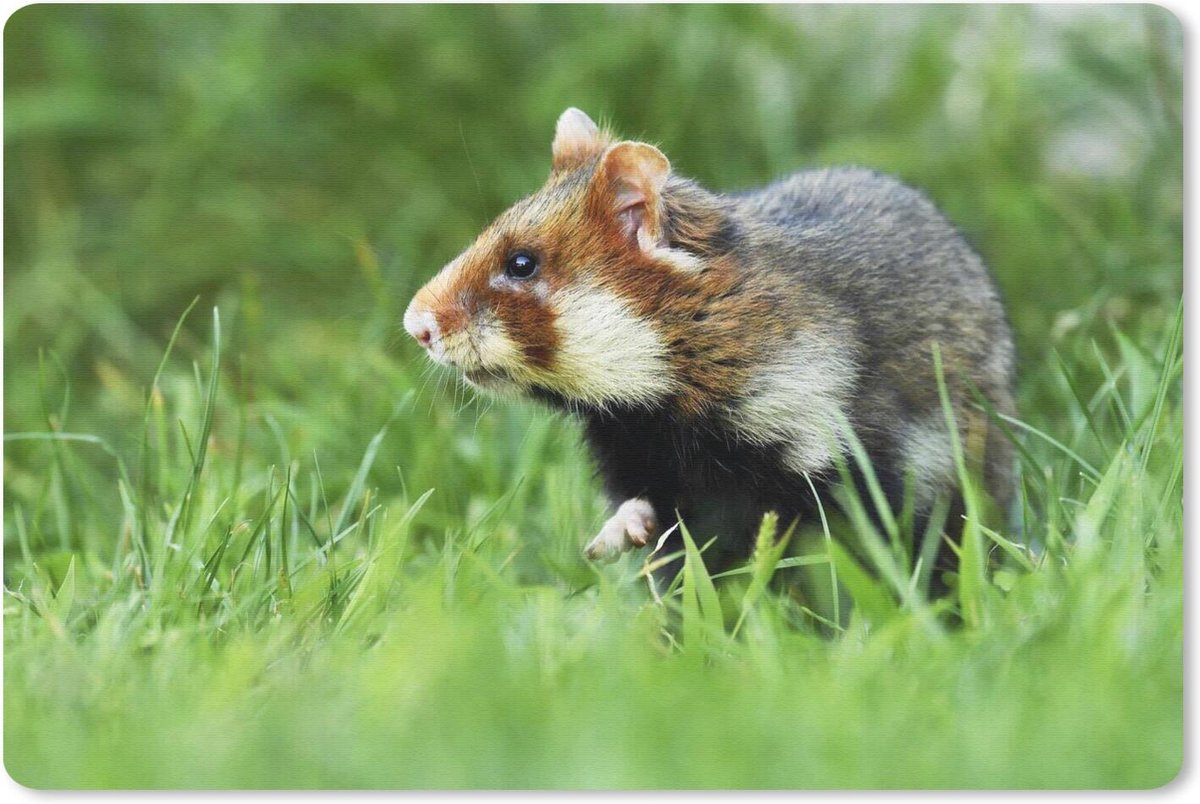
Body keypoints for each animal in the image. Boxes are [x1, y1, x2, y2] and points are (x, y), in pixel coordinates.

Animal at [405, 107, 1015, 585]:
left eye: (521, 263)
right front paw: (612, 542)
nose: (415, 326)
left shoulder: (850, 467)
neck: (662, 405)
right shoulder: (643, 467)